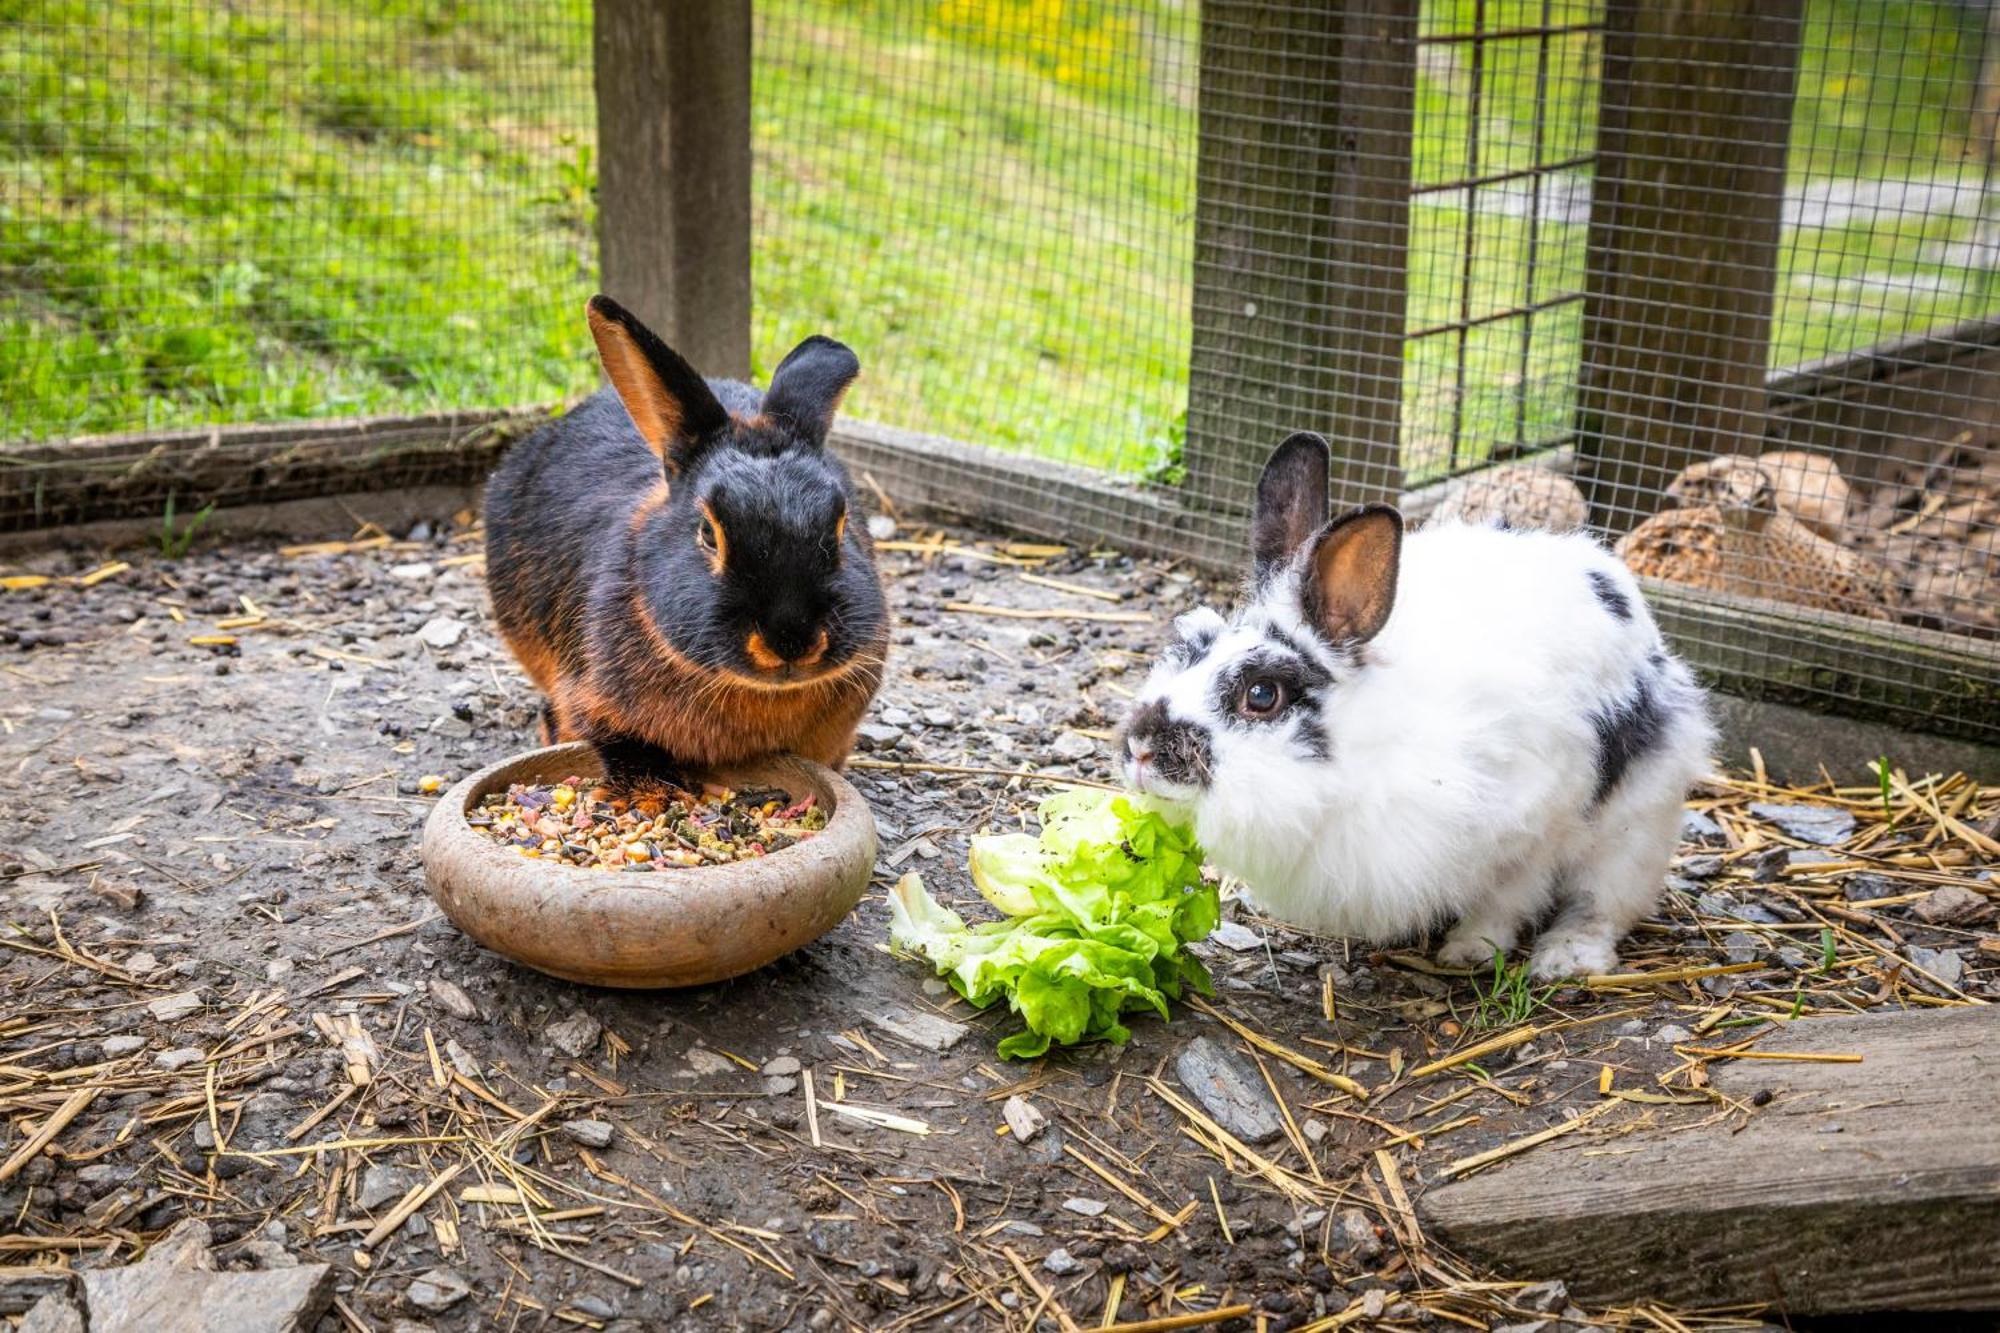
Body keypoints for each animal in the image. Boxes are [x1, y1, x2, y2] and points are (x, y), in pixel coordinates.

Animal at [1128, 430, 1720, 972]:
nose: (1139, 748)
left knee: (1604, 901)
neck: (1364, 759)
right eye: (1190, 645)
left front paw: (1471, 950)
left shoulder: (1535, 827)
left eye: (1261, 694)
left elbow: (1508, 897)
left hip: (1636, 821)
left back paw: (1567, 959)